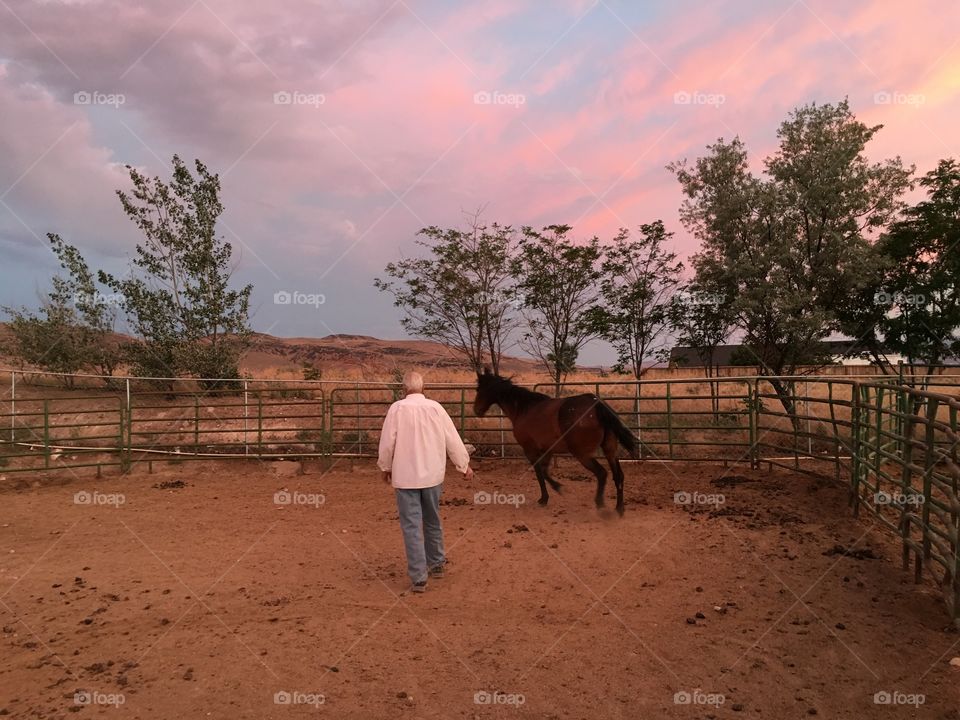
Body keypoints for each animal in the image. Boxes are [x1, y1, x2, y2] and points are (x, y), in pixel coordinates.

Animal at [472, 368, 636, 516]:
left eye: (479, 389)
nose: (476, 410)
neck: (523, 409)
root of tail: (597, 405)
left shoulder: (530, 450)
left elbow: (540, 473)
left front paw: (548, 495)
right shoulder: (548, 450)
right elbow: (544, 471)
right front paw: (551, 492)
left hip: (582, 455)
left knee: (602, 473)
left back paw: (600, 504)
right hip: (610, 450)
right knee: (618, 476)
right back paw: (619, 509)